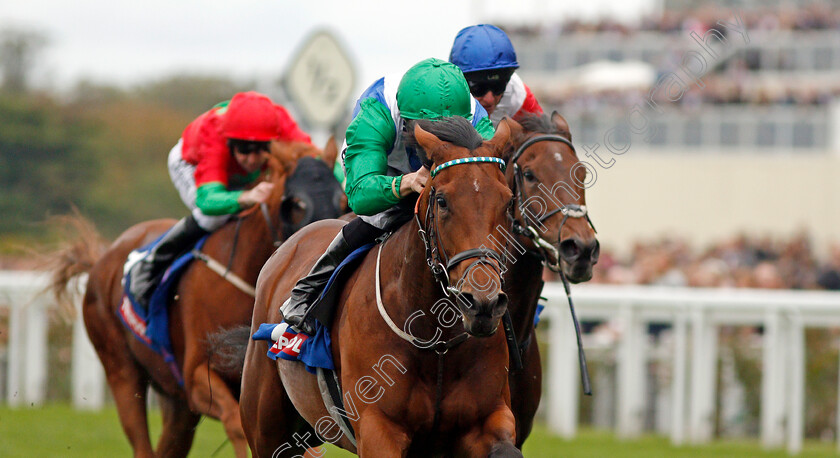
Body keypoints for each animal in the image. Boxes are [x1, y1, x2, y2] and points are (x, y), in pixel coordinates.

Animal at [44, 140, 346, 458]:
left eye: (341, 201)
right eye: (297, 203)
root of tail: (102, 259)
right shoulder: (197, 378)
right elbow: (235, 424)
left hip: (176, 404)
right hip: (122, 372)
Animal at [240, 119, 520, 458]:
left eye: (507, 201)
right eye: (442, 201)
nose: (482, 304)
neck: (436, 342)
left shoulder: (488, 419)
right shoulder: (378, 429)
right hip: (266, 428)